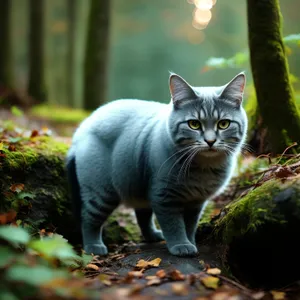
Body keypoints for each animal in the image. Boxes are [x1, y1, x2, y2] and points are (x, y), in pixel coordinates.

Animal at [67, 72, 247, 255]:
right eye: (194, 124)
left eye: (223, 124)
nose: (210, 141)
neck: (203, 168)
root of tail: (82, 128)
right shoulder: (164, 196)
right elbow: (174, 224)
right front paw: (181, 245)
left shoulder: (195, 202)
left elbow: (190, 225)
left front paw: (190, 242)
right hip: (101, 192)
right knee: (89, 218)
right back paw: (93, 247)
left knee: (142, 216)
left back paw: (153, 235)